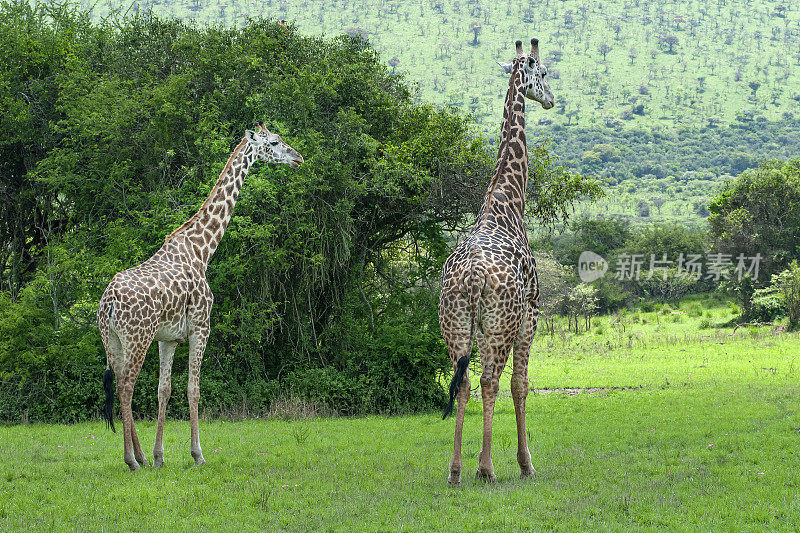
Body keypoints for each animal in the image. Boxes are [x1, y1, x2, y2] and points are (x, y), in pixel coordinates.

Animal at [97, 121, 304, 470]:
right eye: (275, 142)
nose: (298, 158)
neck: (202, 250)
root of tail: (108, 301)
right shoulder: (200, 326)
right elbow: (193, 389)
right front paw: (197, 454)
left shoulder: (168, 338)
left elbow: (164, 389)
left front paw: (159, 456)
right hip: (137, 337)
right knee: (126, 386)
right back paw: (131, 460)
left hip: (112, 339)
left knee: (121, 383)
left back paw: (141, 456)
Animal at [440, 39, 552, 484]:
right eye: (544, 73)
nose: (552, 99)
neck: (507, 201)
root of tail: (472, 277)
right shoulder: (531, 315)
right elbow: (521, 384)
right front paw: (526, 464)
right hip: (499, 324)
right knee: (490, 380)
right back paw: (486, 468)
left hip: (455, 323)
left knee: (463, 380)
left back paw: (456, 470)